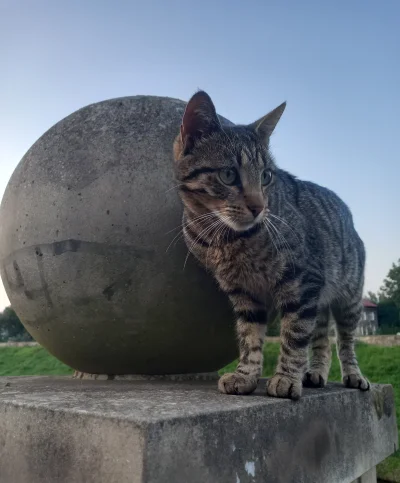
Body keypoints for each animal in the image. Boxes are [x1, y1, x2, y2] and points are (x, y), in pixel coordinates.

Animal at [172, 91, 368, 400]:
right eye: (229, 175)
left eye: (266, 176)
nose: (259, 207)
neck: (226, 239)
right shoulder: (243, 292)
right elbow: (249, 337)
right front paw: (245, 375)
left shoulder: (302, 281)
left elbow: (294, 335)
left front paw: (286, 377)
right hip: (322, 300)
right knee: (322, 339)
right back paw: (316, 372)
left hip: (348, 298)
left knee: (346, 341)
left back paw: (353, 375)